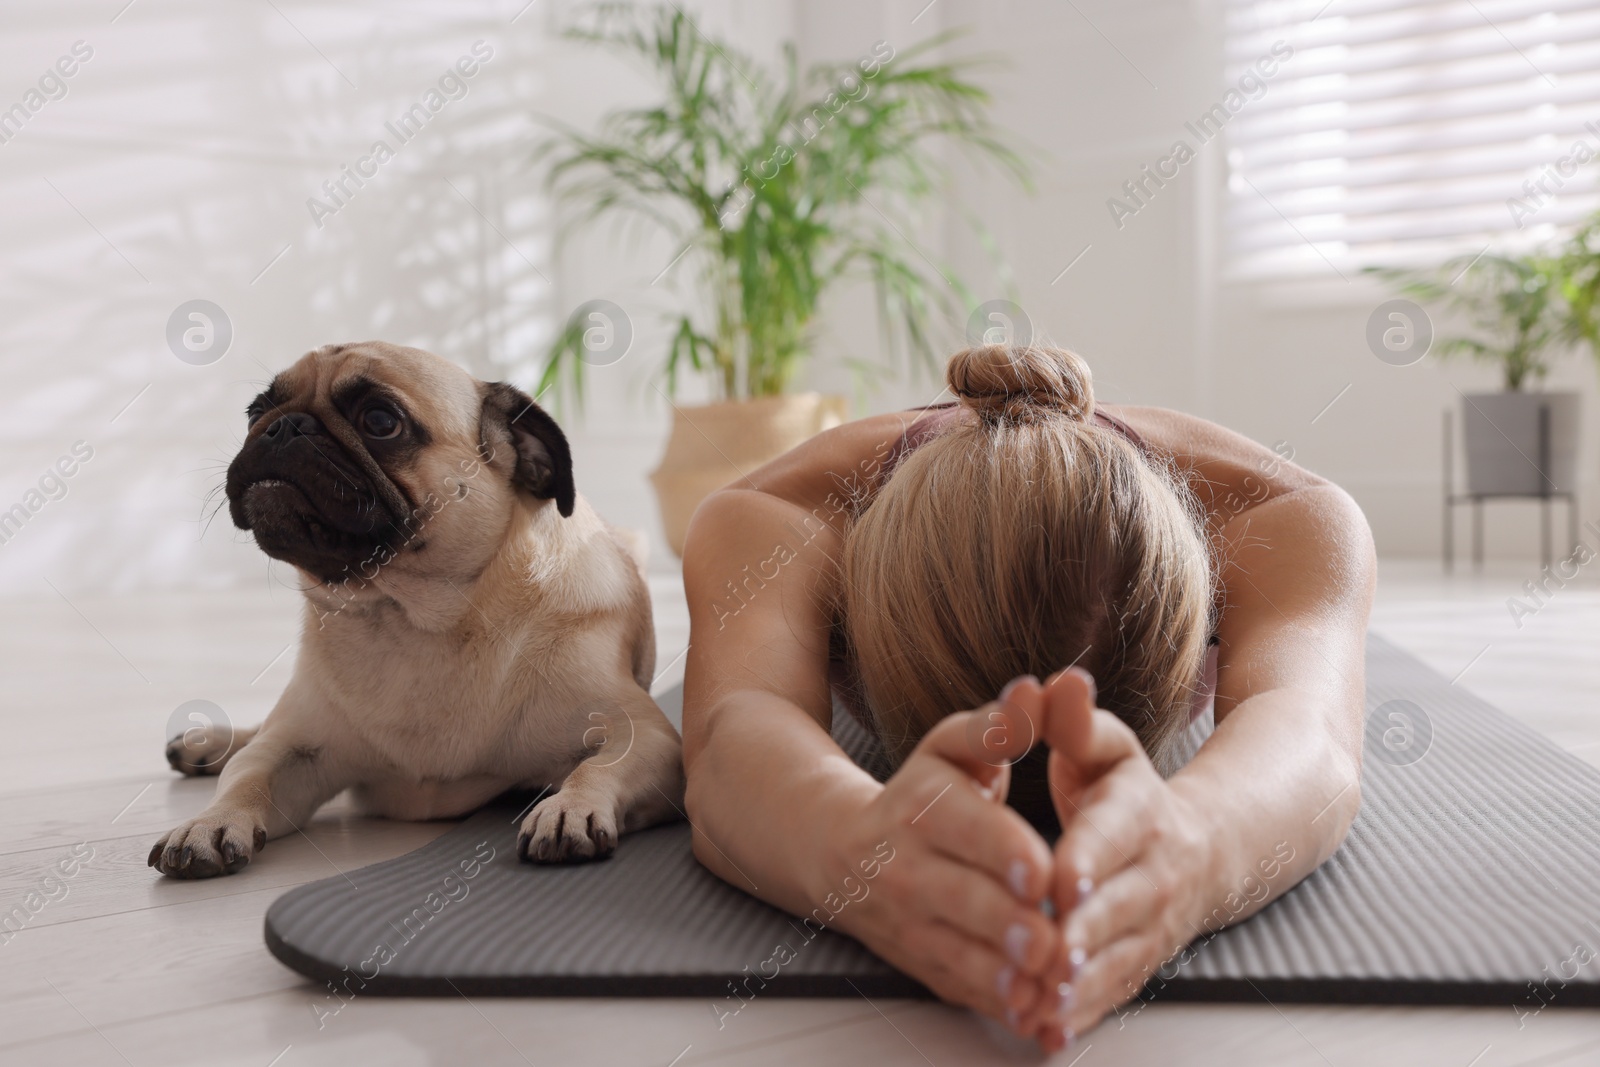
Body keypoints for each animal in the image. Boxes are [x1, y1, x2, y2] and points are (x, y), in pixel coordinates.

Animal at [152, 340, 691, 876]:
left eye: (380, 421)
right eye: (255, 412)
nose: (283, 426)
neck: (411, 619)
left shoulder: (646, 737)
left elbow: (598, 766)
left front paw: (570, 808)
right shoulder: (291, 749)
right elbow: (247, 776)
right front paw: (208, 822)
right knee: (252, 738)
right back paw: (211, 745)